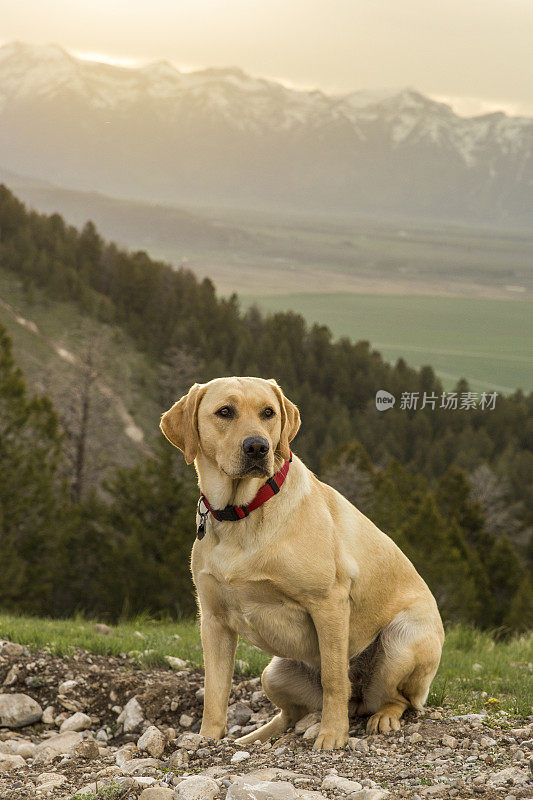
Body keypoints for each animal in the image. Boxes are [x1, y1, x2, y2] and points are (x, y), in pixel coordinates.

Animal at [160, 376, 442, 752]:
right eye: (224, 412)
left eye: (268, 413)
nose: (257, 447)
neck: (244, 512)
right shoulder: (214, 620)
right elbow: (215, 690)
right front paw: (207, 738)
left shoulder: (329, 604)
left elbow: (335, 679)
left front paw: (333, 735)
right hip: (274, 673)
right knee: (290, 715)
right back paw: (253, 737)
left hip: (401, 641)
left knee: (395, 699)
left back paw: (382, 717)